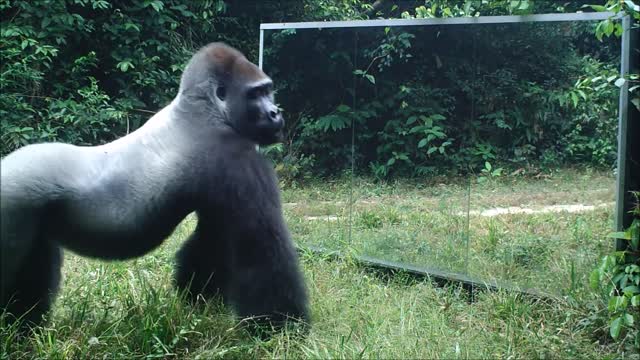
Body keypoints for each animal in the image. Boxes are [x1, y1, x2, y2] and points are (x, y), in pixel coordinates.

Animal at [0, 41, 310, 332]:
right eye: (255, 94)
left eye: (268, 91)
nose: (275, 113)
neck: (202, 108)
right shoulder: (235, 155)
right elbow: (260, 249)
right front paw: (282, 329)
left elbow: (215, 240)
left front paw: (199, 302)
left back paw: (21, 327)